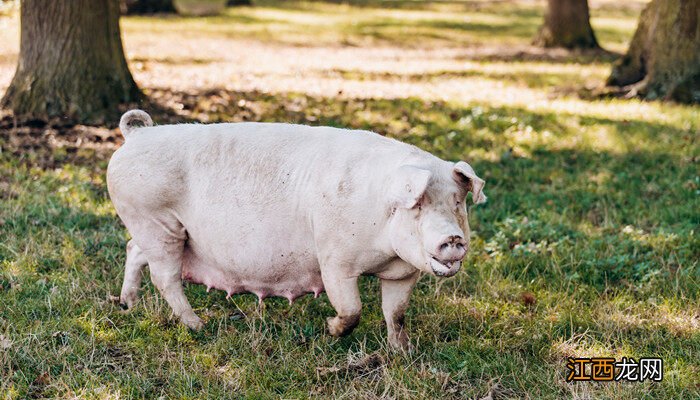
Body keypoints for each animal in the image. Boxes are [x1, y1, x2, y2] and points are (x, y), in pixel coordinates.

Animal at [108, 109, 486, 350]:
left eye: (456, 202)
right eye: (418, 204)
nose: (453, 238)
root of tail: (136, 135)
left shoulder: (403, 273)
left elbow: (396, 313)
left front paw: (401, 352)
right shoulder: (334, 259)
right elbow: (352, 309)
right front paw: (330, 329)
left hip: (155, 230)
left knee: (133, 249)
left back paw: (127, 304)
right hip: (156, 222)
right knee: (165, 277)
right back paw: (199, 326)